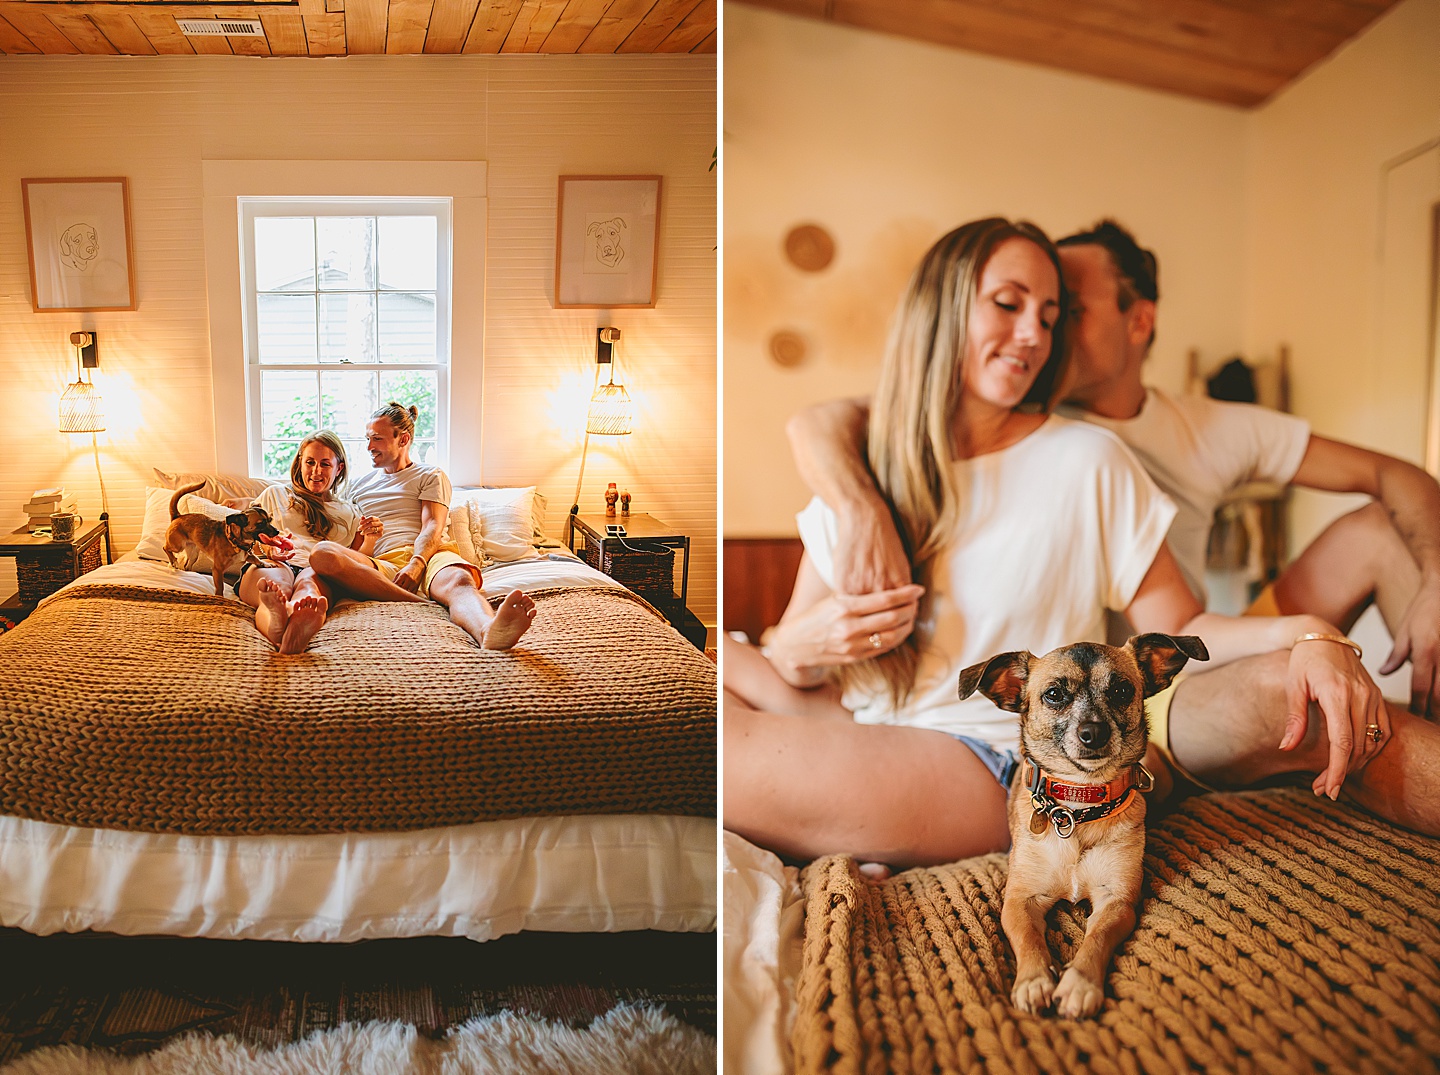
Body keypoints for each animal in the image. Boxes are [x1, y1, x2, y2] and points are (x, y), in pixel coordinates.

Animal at [961, 636, 1209, 1024]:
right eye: (1053, 694)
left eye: (1122, 690)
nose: (1094, 733)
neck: (1079, 805)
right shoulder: (1019, 900)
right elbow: (1029, 939)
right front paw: (1034, 980)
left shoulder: (1116, 901)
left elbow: (1097, 939)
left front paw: (1079, 983)